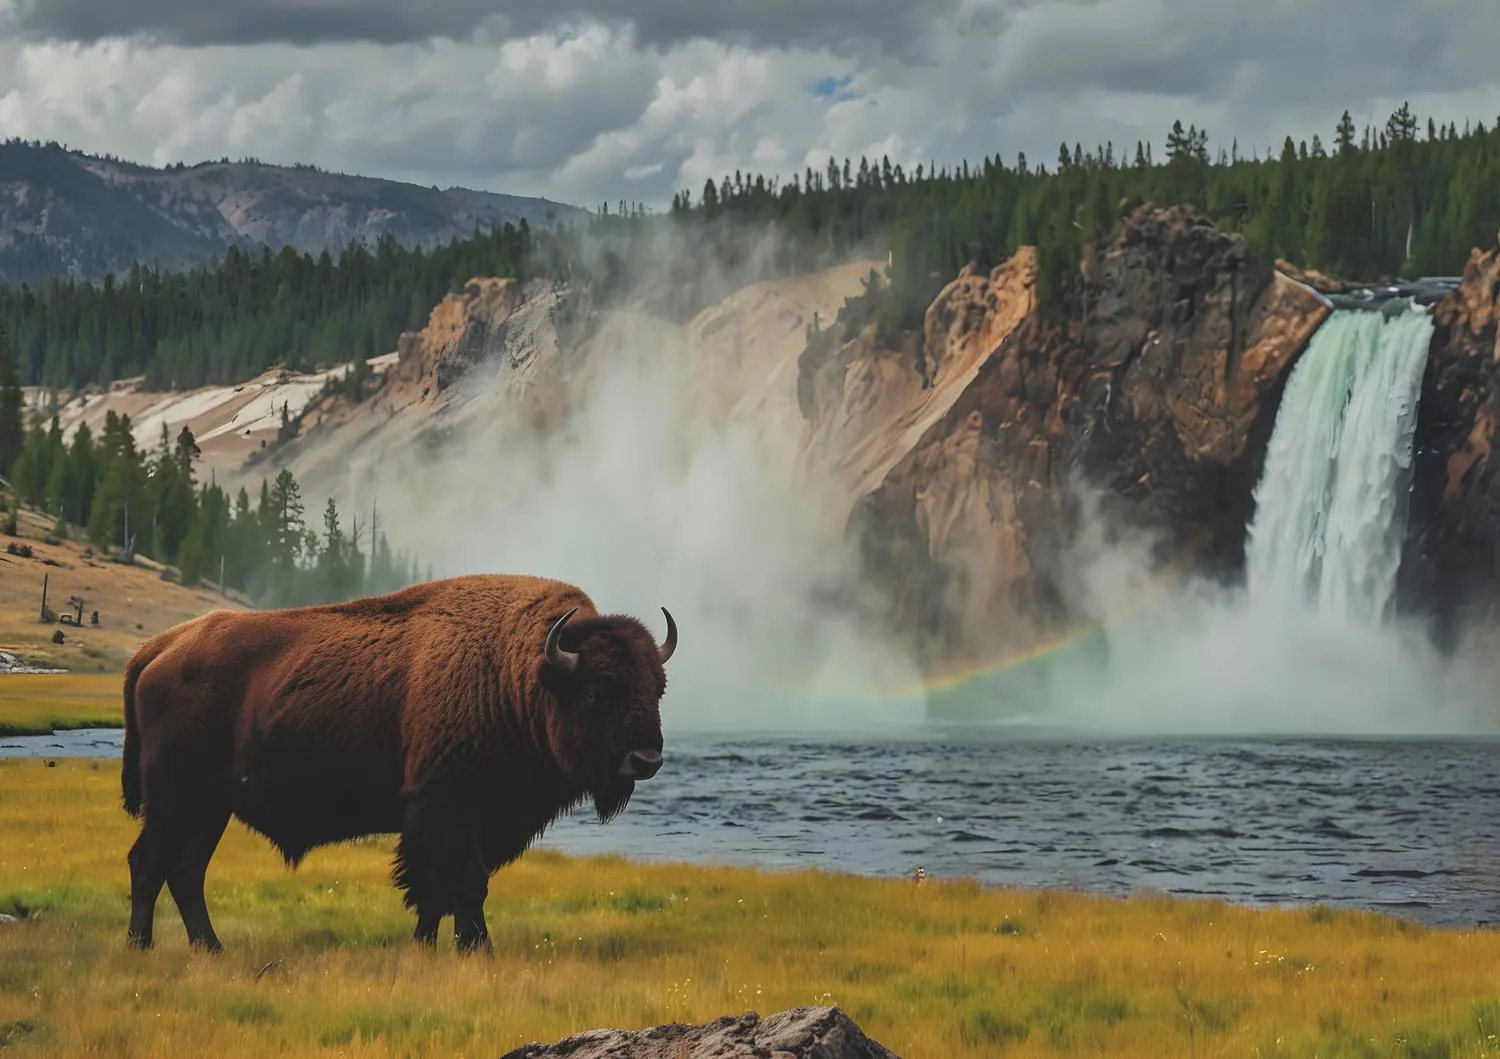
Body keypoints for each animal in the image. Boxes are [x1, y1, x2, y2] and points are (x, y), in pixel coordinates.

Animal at [120, 573, 677, 954]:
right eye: (595, 693)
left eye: (657, 689)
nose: (645, 758)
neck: (516, 674)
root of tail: (157, 648)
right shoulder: (447, 808)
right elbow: (460, 883)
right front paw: (478, 950)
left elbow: (439, 892)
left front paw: (431, 946)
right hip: (174, 796)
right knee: (149, 862)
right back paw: (142, 947)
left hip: (210, 807)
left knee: (186, 870)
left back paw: (210, 948)